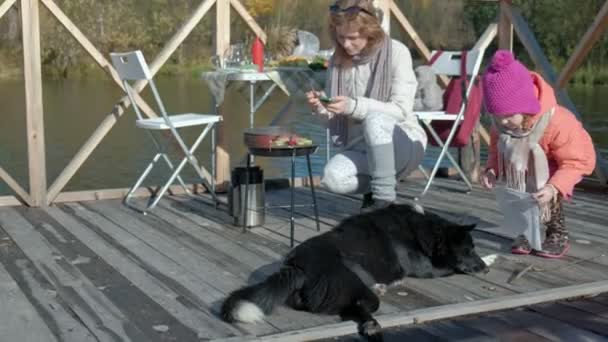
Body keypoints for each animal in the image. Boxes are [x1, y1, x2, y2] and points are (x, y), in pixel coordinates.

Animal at [221, 203, 486, 340]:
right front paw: (490, 259)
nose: (484, 268)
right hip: (352, 283)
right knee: (357, 306)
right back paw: (372, 326)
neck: (426, 231)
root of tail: (298, 266)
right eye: (469, 250)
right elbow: (452, 269)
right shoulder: (427, 269)